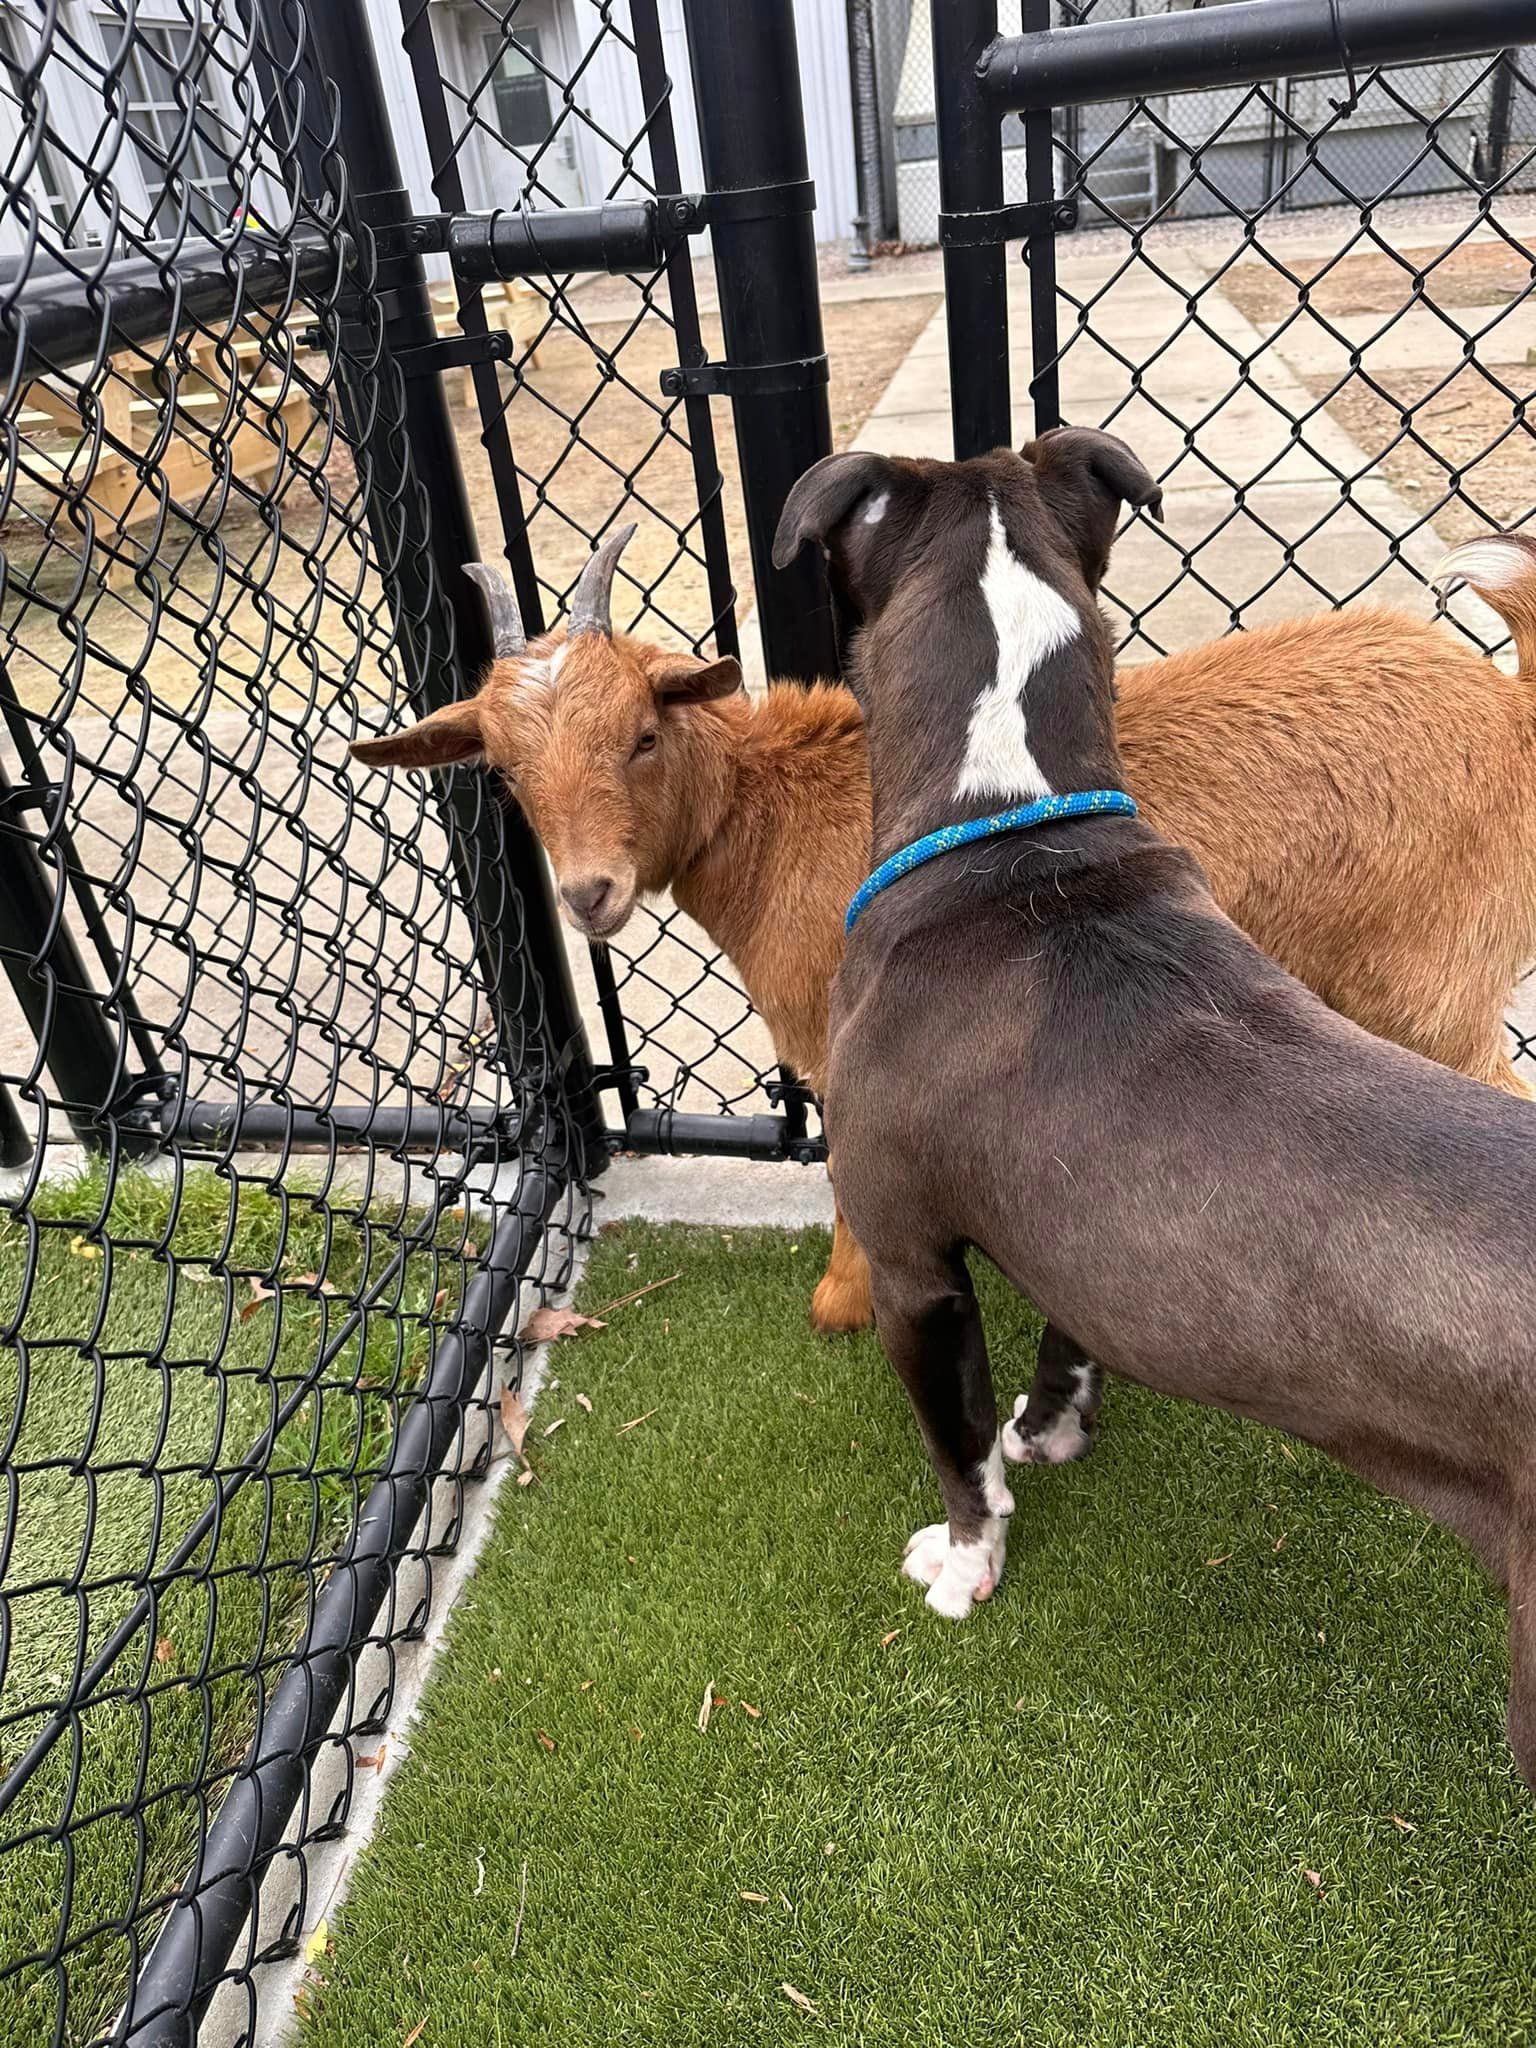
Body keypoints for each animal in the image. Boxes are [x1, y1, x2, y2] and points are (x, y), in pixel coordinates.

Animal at [354, 520, 1536, 1335]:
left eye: (644, 732)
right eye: (504, 771)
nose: (589, 894)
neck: (779, 810)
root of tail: (1508, 712)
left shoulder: (843, 1037)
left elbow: (844, 1176)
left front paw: (840, 1301)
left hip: (1433, 986)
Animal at [774, 436, 1536, 1794]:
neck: (1009, 824)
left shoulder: (912, 1266)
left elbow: (954, 1440)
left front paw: (966, 1562)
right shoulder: (1076, 1226)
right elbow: (1061, 1342)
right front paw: (1052, 1426)